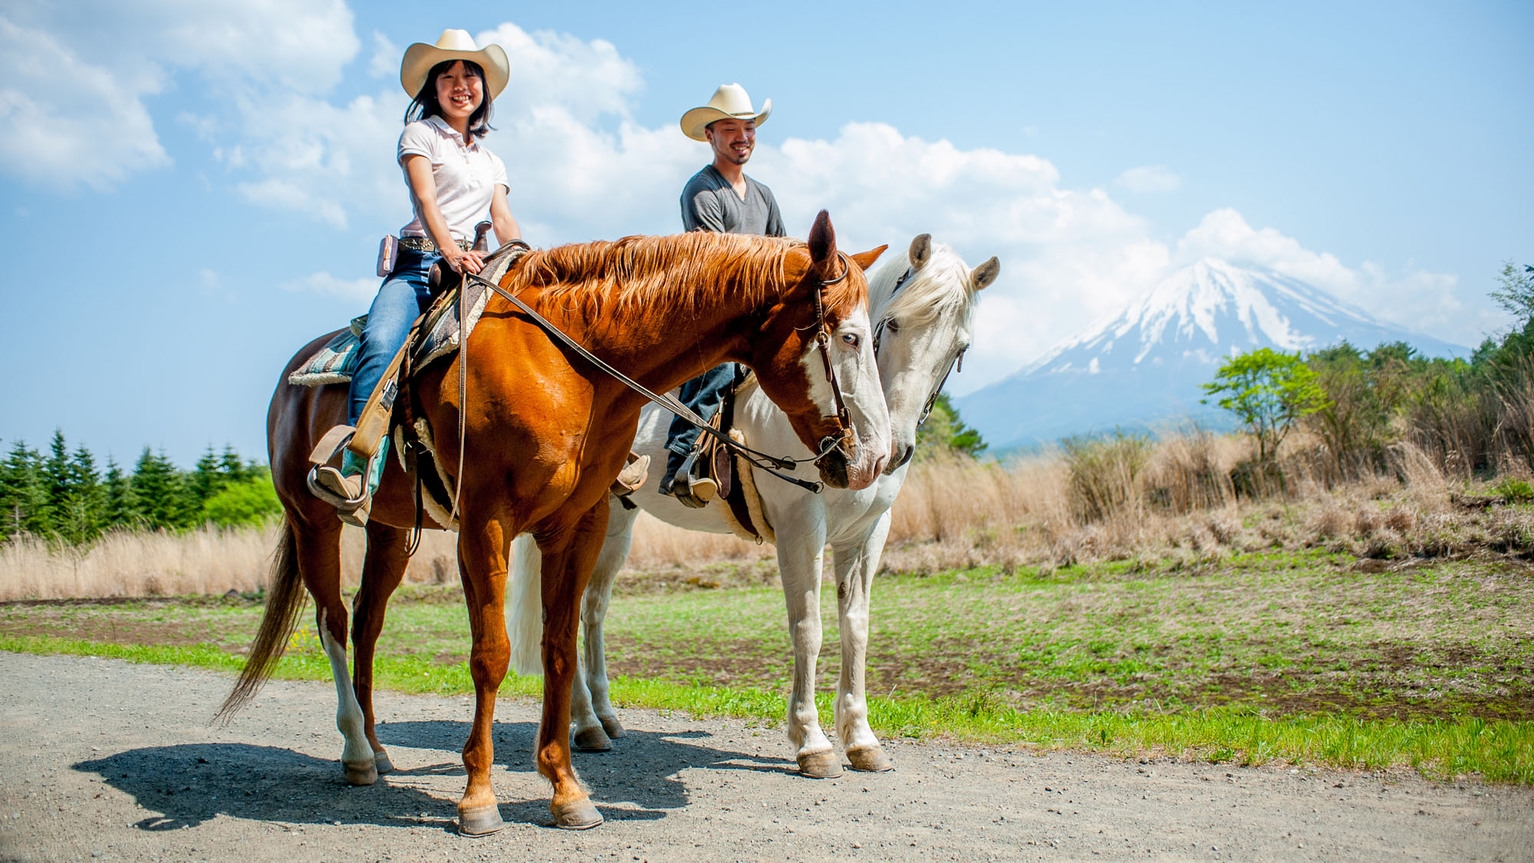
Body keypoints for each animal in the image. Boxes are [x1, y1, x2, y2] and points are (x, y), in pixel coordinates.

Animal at [220, 212, 893, 834]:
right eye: (850, 337)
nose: (874, 459)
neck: (572, 364)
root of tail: (294, 375)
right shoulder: (485, 524)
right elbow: (491, 653)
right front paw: (478, 799)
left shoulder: (577, 525)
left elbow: (559, 647)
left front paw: (567, 789)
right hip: (312, 520)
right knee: (332, 621)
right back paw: (357, 750)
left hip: (388, 531)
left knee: (367, 623)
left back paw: (379, 751)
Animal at [507, 234, 998, 777]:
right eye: (890, 324)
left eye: (960, 348)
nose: (890, 451)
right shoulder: (802, 528)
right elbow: (809, 629)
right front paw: (812, 741)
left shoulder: (870, 534)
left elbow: (856, 629)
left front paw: (861, 738)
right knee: (567, 611)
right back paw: (585, 721)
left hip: (619, 521)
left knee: (591, 610)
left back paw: (602, 718)